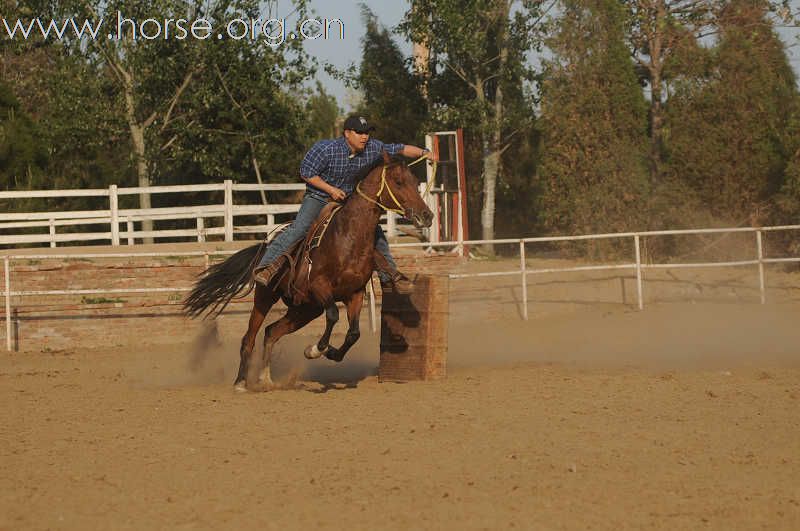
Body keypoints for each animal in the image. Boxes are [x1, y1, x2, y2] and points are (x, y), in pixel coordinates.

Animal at [184, 152, 434, 392]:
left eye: (415, 181)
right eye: (399, 181)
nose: (427, 215)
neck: (348, 237)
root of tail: (264, 247)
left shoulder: (355, 294)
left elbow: (354, 333)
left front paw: (331, 352)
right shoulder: (320, 287)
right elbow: (333, 315)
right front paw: (315, 349)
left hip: (305, 309)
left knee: (271, 332)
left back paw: (266, 380)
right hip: (266, 298)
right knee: (250, 338)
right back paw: (241, 382)